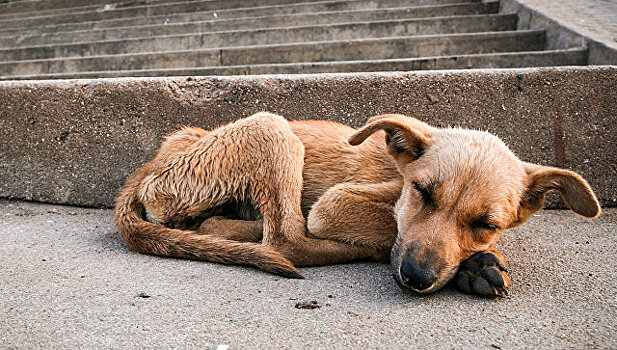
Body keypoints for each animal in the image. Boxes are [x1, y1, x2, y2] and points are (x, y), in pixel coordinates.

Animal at [113, 113, 600, 298]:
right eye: (423, 192)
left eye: (486, 223)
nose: (416, 278)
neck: (397, 173)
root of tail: (154, 162)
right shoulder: (334, 203)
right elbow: (389, 229)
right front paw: (473, 264)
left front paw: (476, 261)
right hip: (271, 127)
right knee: (288, 240)